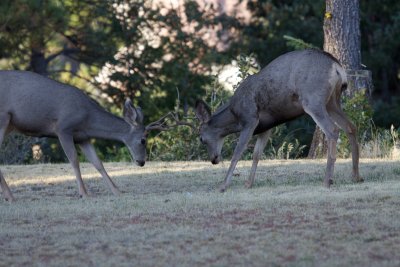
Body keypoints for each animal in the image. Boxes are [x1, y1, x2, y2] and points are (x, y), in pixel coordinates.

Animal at [0, 71, 159, 201]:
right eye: (143, 140)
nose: (141, 162)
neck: (87, 118)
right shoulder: (63, 128)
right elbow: (74, 160)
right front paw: (84, 193)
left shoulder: (83, 137)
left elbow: (97, 163)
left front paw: (117, 191)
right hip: (3, 117)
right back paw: (10, 197)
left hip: (9, 124)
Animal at [195, 49, 364, 193]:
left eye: (202, 139)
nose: (213, 159)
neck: (235, 115)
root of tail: (337, 67)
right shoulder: (266, 126)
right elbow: (257, 154)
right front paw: (248, 184)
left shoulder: (250, 119)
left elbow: (238, 152)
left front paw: (223, 186)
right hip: (332, 102)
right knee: (351, 126)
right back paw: (356, 176)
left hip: (313, 99)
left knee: (333, 129)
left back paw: (328, 180)